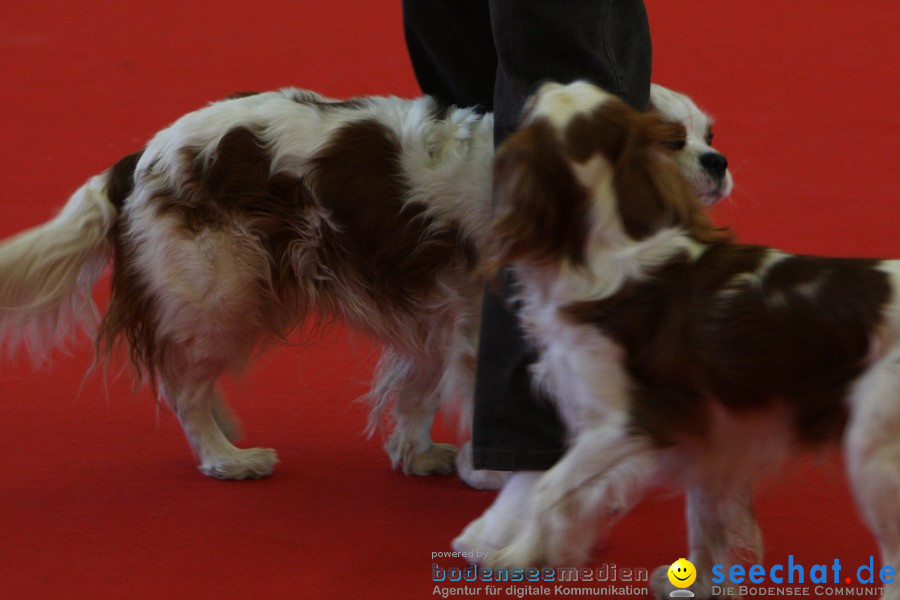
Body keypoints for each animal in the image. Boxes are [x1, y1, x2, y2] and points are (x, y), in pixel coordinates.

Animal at [0, 84, 732, 486]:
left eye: (709, 133)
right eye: (673, 141)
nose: (719, 160)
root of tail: (139, 158)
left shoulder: (434, 311)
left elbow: (415, 388)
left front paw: (420, 455)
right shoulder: (476, 319)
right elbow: (469, 391)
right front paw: (490, 471)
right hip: (220, 294)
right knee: (184, 388)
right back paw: (227, 457)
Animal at [460, 82, 896, 600]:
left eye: (535, 110)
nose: (543, 83)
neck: (611, 238)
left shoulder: (626, 424)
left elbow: (550, 489)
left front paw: (522, 554)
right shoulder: (709, 437)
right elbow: (704, 519)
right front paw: (699, 584)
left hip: (873, 453)